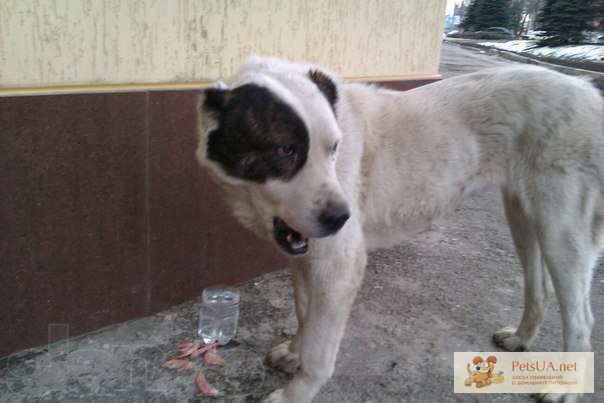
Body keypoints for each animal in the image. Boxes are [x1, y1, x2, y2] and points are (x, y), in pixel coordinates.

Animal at [196, 55, 600, 402]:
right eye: (285, 151)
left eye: (334, 148)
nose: (341, 219)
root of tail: (590, 93)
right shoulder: (305, 258)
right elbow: (304, 314)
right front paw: (295, 351)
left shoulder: (339, 266)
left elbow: (319, 348)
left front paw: (297, 391)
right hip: (523, 217)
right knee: (538, 290)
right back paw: (520, 339)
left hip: (561, 230)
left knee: (581, 319)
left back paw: (565, 389)